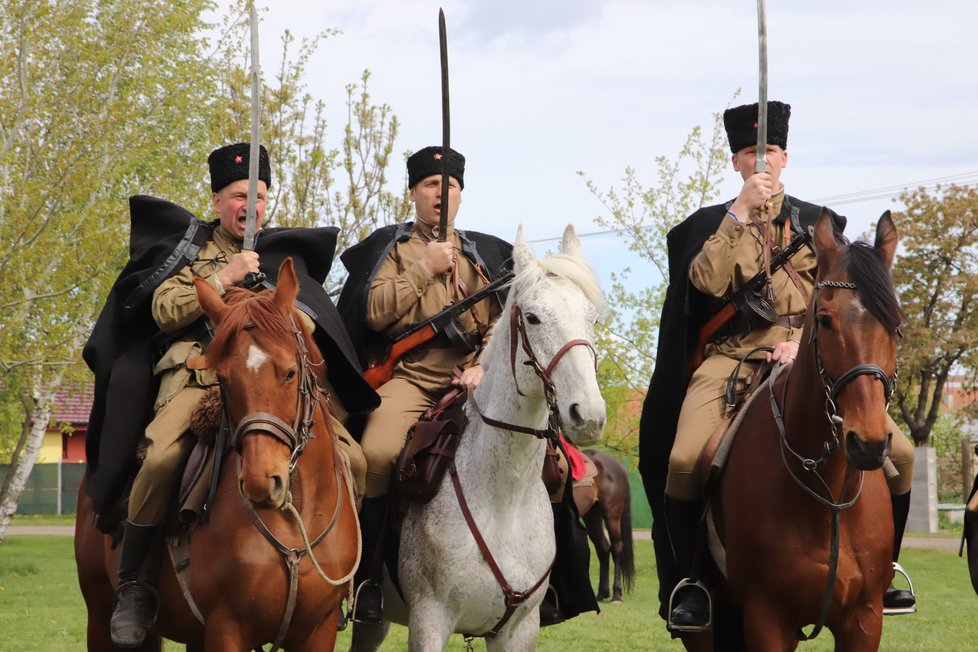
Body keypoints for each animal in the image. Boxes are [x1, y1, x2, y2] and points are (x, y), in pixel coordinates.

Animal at [75, 260, 358, 652]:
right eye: (223, 379)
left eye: (290, 372)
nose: (260, 481)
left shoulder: (319, 630)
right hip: (101, 615)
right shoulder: (227, 628)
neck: (294, 519)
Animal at [350, 225, 608, 652]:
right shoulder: (429, 622)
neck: (503, 499)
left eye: (592, 318)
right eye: (533, 318)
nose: (588, 415)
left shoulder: (519, 631)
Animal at [576, 450, 636, 604]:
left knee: (616, 548)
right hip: (592, 515)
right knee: (603, 549)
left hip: (612, 515)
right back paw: (601, 594)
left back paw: (616, 594)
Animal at [692, 211, 900, 648]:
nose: (869, 443)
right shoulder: (767, 619)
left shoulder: (865, 619)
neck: (828, 498)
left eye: (896, 323)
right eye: (824, 319)